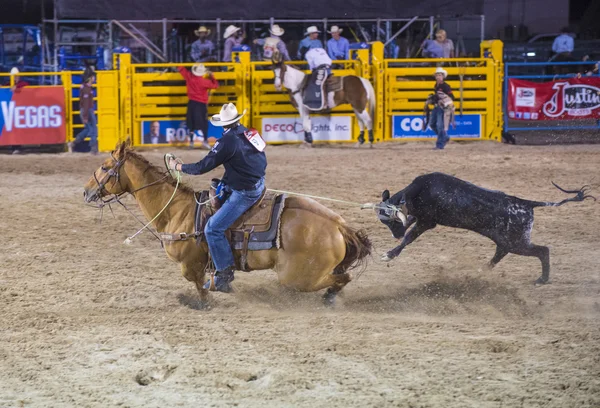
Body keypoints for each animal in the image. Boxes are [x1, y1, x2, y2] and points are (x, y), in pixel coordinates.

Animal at [82, 142, 372, 304]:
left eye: (105, 167)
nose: (86, 192)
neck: (177, 210)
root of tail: (337, 224)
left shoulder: (190, 264)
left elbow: (200, 288)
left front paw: (208, 299)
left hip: (298, 277)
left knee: (341, 278)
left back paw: (329, 298)